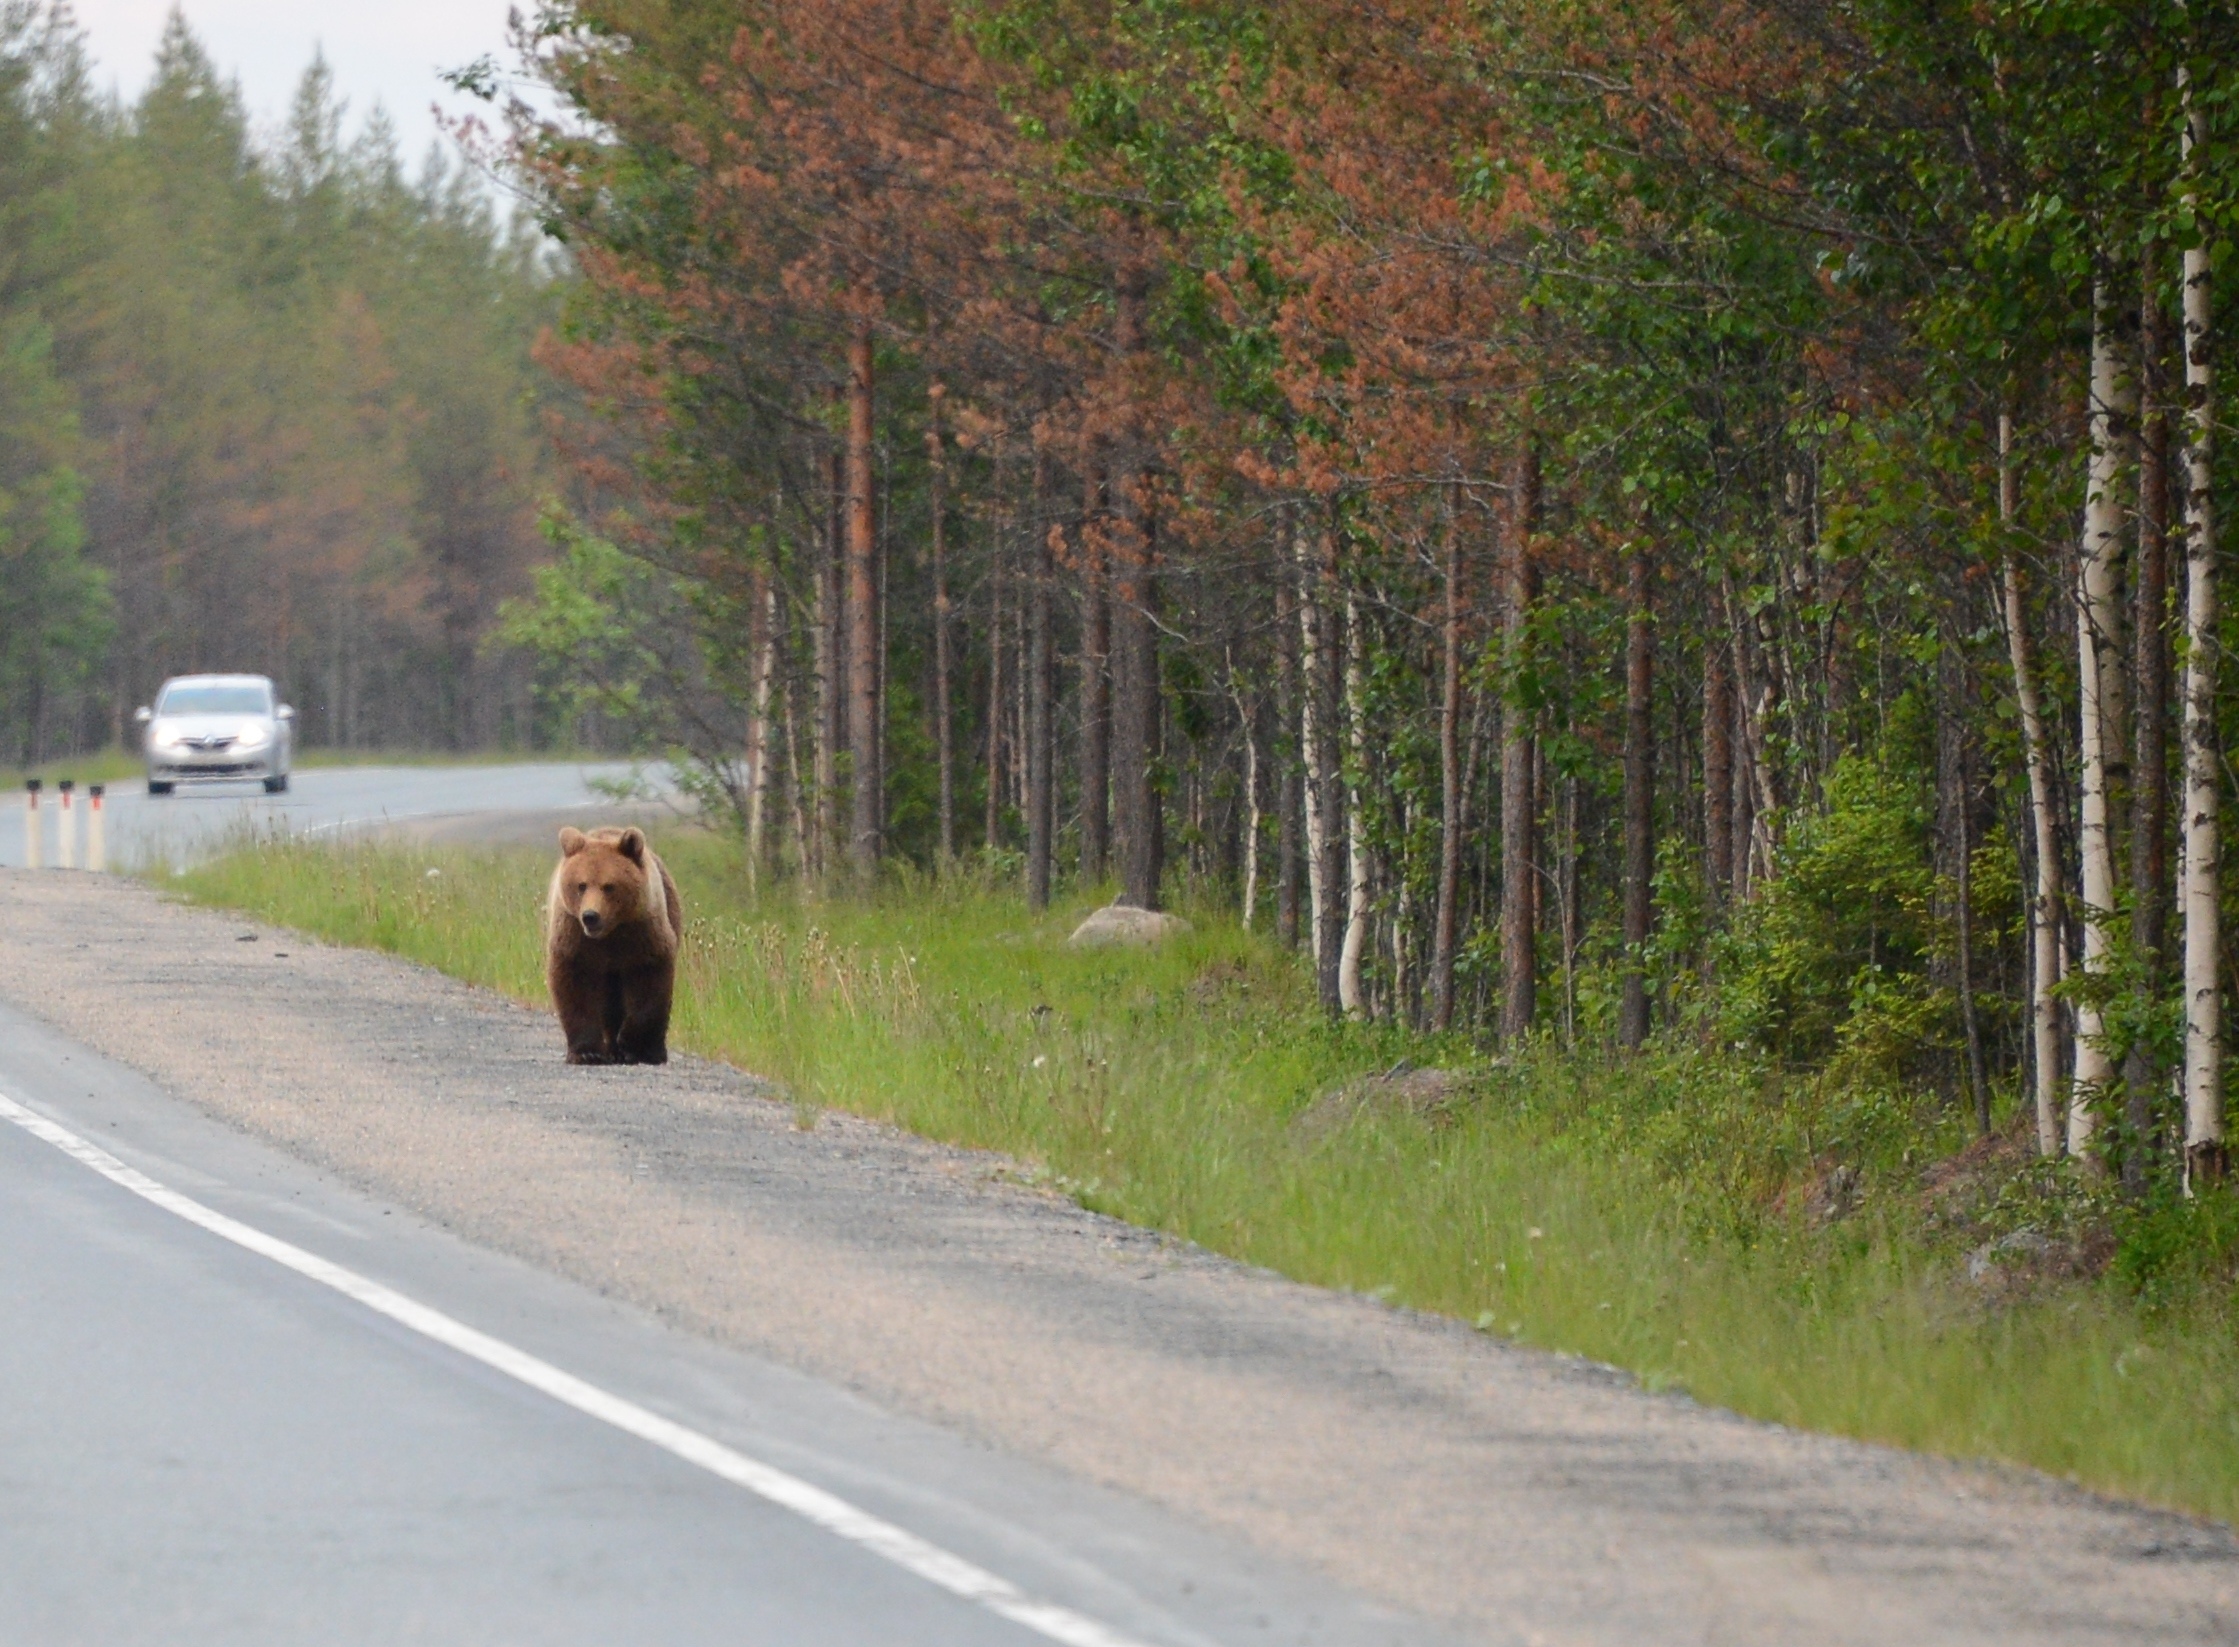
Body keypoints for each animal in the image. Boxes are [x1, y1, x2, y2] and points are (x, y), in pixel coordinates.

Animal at [544, 823, 676, 1069]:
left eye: (609, 886)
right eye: (581, 885)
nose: (590, 916)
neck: (609, 933)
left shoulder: (642, 933)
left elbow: (649, 982)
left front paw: (633, 1047)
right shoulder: (575, 938)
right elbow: (575, 987)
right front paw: (587, 1053)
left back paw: (653, 1052)